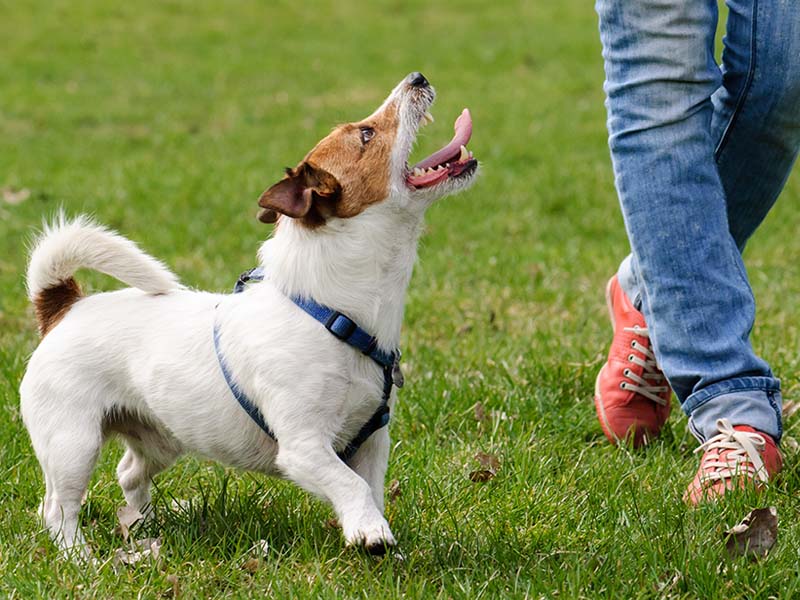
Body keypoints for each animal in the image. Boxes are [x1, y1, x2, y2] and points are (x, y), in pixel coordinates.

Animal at [18, 71, 478, 556]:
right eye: (366, 134)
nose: (417, 77)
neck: (332, 312)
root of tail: (65, 306)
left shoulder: (371, 442)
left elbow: (368, 490)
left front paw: (377, 536)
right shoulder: (303, 447)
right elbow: (349, 485)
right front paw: (371, 533)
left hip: (160, 438)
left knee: (127, 474)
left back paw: (143, 528)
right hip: (72, 443)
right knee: (58, 509)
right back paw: (81, 558)